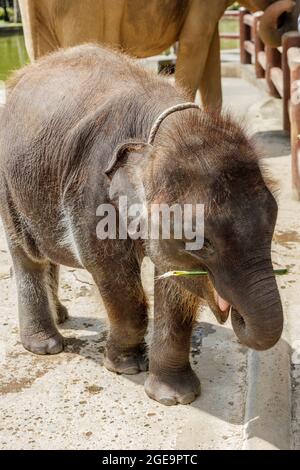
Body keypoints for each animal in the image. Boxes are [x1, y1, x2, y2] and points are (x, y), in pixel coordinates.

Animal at [0, 44, 284, 406]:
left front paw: (174, 397)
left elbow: (175, 282)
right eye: (202, 242)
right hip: (8, 184)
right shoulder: (90, 190)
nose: (236, 314)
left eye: (272, 222)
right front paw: (125, 367)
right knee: (28, 256)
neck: (159, 133)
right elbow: (111, 271)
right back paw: (46, 345)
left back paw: (62, 315)